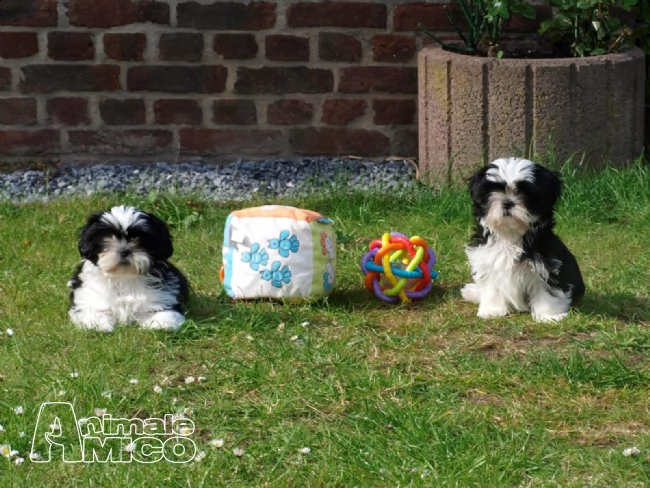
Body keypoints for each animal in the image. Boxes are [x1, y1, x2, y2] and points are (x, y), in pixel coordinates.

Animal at [69, 204, 189, 334]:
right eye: (108, 237)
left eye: (139, 238)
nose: (124, 251)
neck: (124, 276)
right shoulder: (89, 296)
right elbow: (94, 311)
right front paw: (100, 326)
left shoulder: (163, 296)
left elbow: (164, 312)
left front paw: (159, 325)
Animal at [458, 158, 584, 322]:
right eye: (494, 190)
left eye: (525, 192)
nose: (507, 202)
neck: (510, 234)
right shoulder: (487, 259)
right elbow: (492, 287)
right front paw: (492, 310)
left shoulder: (548, 266)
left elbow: (547, 290)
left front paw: (549, 316)